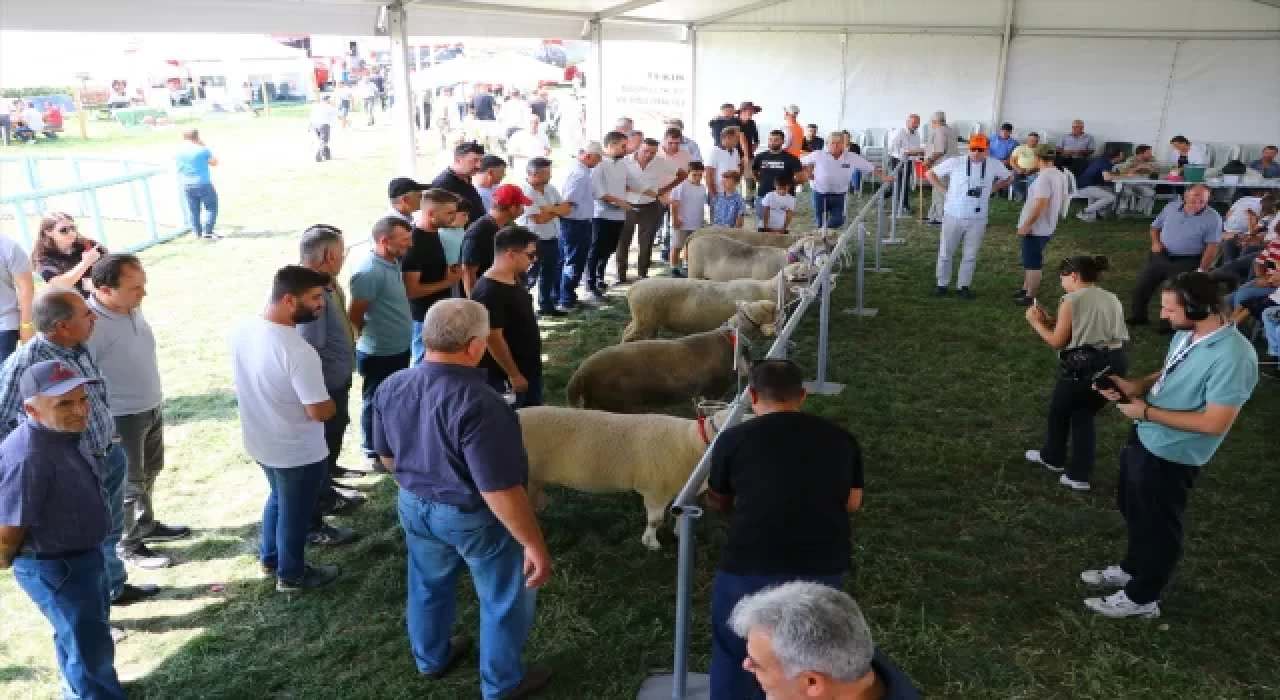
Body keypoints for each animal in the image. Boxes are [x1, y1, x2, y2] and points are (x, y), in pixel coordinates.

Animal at [519, 404, 742, 547]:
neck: (690, 442)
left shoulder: (682, 488)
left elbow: (680, 514)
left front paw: (681, 534)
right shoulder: (655, 489)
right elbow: (655, 520)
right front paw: (651, 543)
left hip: (534, 478)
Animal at [619, 261, 808, 340]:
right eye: (800, 276)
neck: (770, 289)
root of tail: (632, 289)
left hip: (647, 321)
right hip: (645, 320)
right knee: (628, 334)